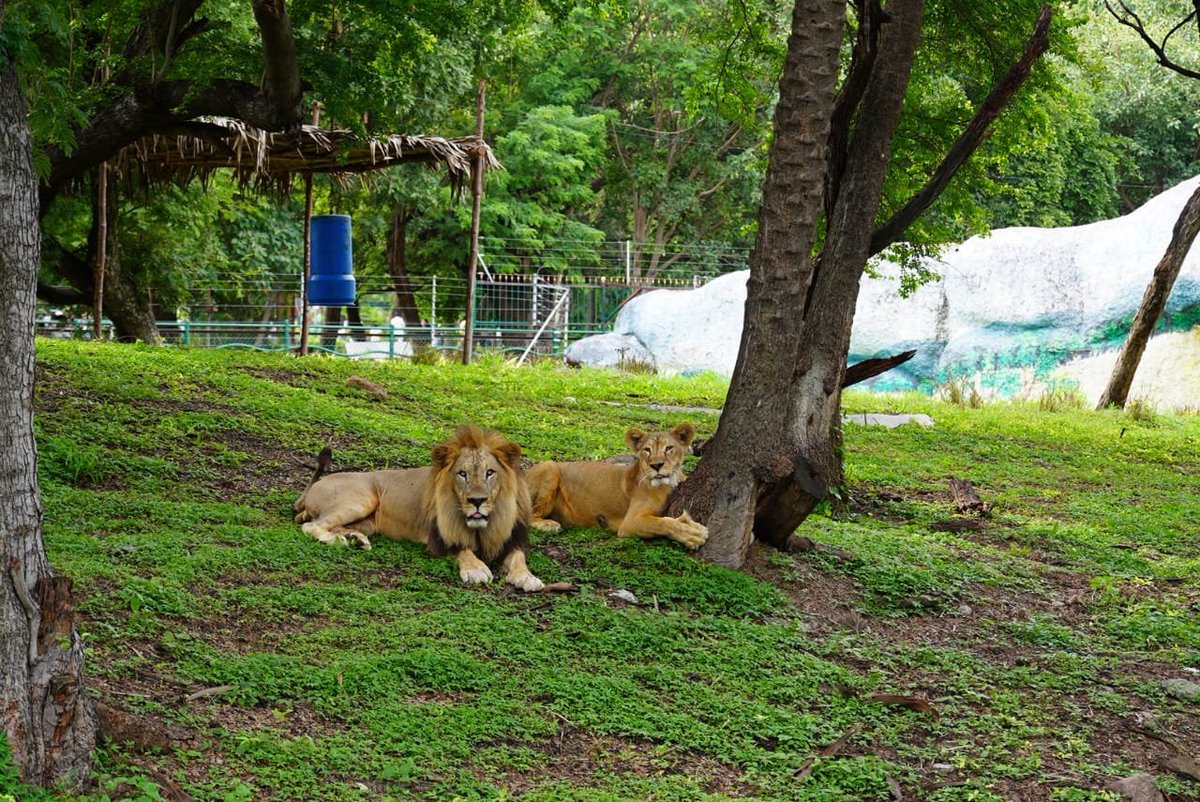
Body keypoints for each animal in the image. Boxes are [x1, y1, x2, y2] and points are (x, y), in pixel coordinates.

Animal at [293, 426, 544, 591]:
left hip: (368, 520)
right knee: (312, 525)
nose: (477, 501)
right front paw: (476, 570)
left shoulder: (512, 538)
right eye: (462, 474)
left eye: (489, 473)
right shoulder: (439, 537)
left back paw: (356, 540)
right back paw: (338, 540)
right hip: (361, 499)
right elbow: (462, 549)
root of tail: (313, 486)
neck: (486, 524)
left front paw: (528, 577)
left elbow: (519, 558)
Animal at [526, 422, 708, 549]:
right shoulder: (630, 522)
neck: (669, 482)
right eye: (647, 450)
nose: (656, 465)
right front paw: (694, 534)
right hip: (550, 466)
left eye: (669, 448)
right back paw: (549, 524)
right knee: (529, 516)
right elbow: (664, 522)